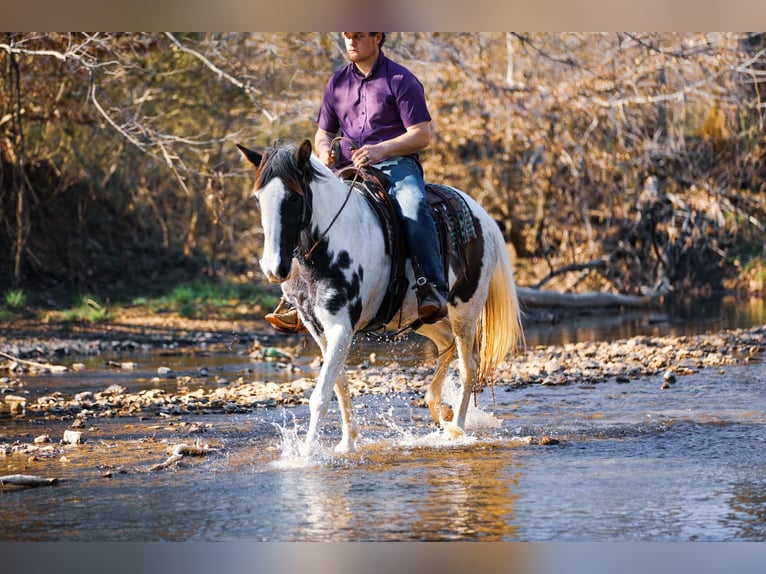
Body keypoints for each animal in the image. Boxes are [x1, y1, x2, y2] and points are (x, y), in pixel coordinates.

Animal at [238, 139, 524, 453]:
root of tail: (482, 215)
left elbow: (321, 395)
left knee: (468, 365)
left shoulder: (341, 327)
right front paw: (347, 443)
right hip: (421, 316)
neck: (328, 245)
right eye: (258, 198)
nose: (273, 267)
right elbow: (339, 384)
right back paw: (438, 409)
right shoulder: (318, 328)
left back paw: (457, 428)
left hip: (465, 308)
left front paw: (306, 454)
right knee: (445, 343)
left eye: (293, 198)